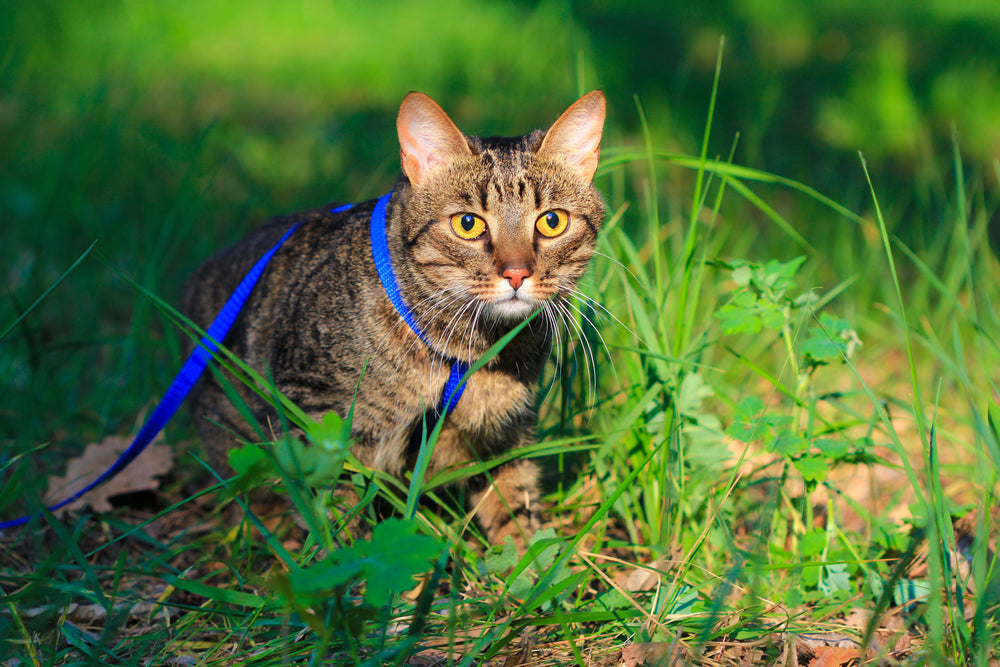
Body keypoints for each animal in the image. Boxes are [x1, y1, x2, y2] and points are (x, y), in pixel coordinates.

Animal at [183, 90, 608, 548]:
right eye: (467, 223)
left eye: (552, 221)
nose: (516, 273)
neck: (468, 347)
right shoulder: (319, 418)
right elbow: (336, 517)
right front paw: (345, 561)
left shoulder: (505, 432)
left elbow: (516, 507)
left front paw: (531, 560)